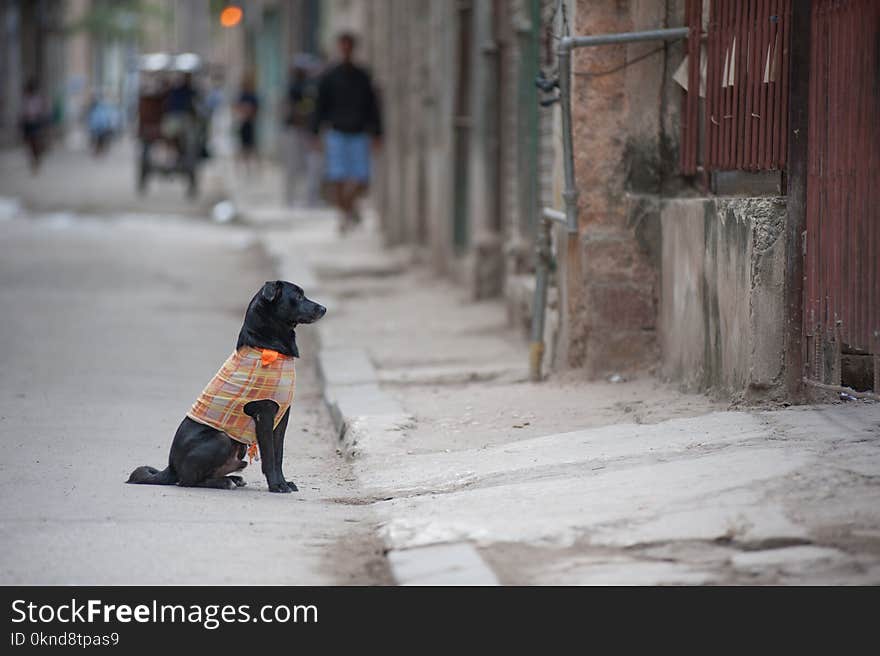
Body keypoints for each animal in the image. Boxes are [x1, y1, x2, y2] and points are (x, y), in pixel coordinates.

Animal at [127, 280, 326, 492]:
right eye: (298, 296)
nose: (324, 308)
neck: (267, 346)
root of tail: (171, 467)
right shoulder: (265, 414)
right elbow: (270, 457)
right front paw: (276, 485)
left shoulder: (281, 416)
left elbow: (278, 454)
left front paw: (284, 482)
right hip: (221, 439)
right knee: (187, 481)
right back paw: (224, 482)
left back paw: (233, 478)